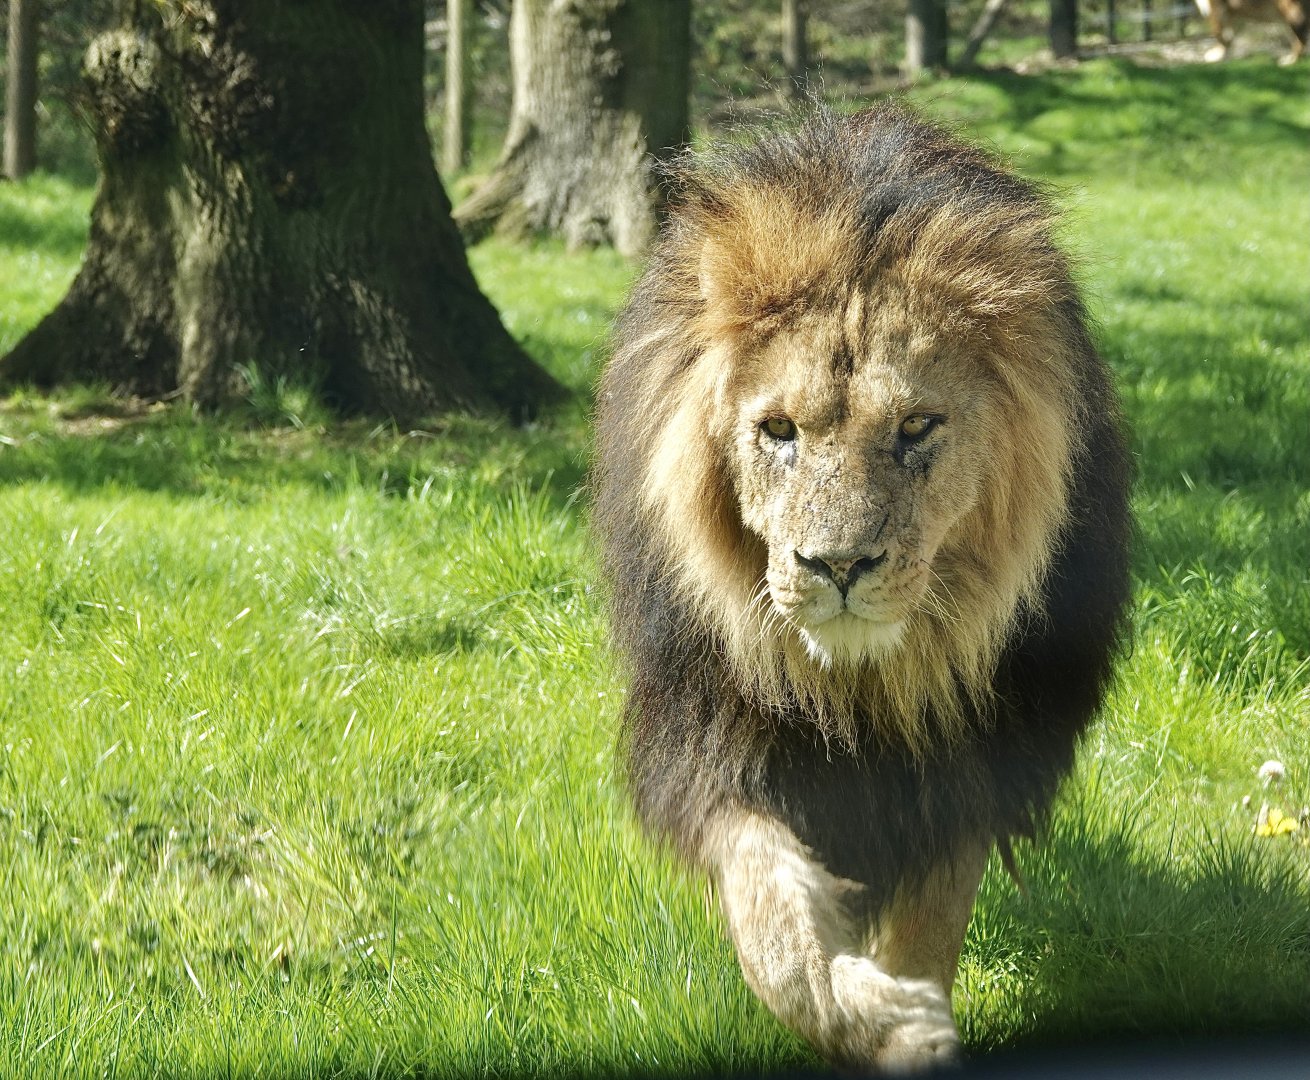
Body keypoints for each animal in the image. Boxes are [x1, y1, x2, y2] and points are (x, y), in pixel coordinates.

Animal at [592, 104, 1132, 1071]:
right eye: (778, 430)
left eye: (916, 427)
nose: (838, 566)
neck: (865, 685)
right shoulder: (720, 742)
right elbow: (777, 936)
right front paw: (884, 1017)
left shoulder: (974, 756)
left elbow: (929, 923)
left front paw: (914, 1028)